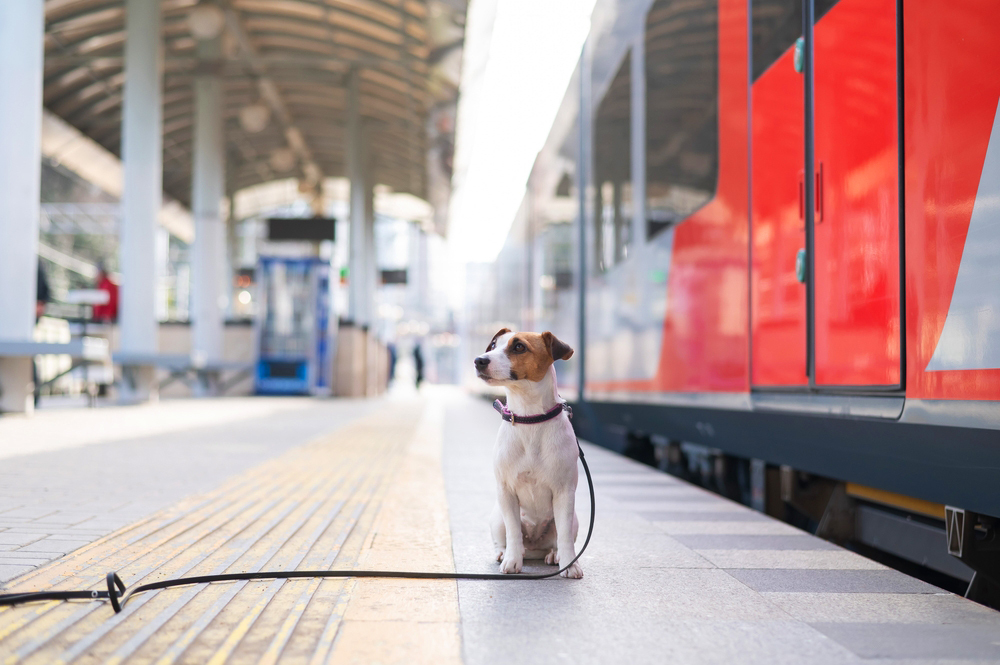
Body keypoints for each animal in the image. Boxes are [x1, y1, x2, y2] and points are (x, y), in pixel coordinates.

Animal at [472, 330, 584, 580]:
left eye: (519, 347)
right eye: (493, 345)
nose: (479, 360)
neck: (529, 417)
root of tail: (534, 547)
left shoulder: (564, 492)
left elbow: (564, 536)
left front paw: (570, 565)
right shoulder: (506, 491)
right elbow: (513, 531)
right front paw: (513, 561)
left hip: (574, 519)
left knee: (558, 539)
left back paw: (555, 555)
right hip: (497, 517)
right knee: (506, 538)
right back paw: (505, 553)